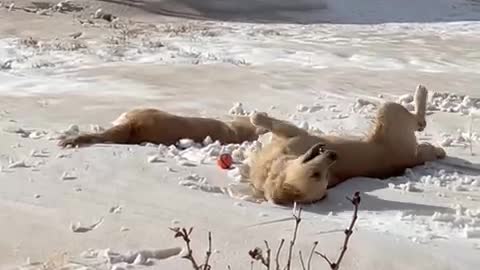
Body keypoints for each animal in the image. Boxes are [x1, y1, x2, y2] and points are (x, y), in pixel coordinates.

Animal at [248, 85, 446, 204]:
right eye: (318, 175)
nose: (333, 155)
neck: (272, 169)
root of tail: (408, 160)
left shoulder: (296, 134)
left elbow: (261, 120)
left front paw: (257, 120)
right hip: (396, 125)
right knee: (422, 132)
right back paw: (437, 148)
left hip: (389, 113)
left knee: (419, 121)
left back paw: (421, 91)